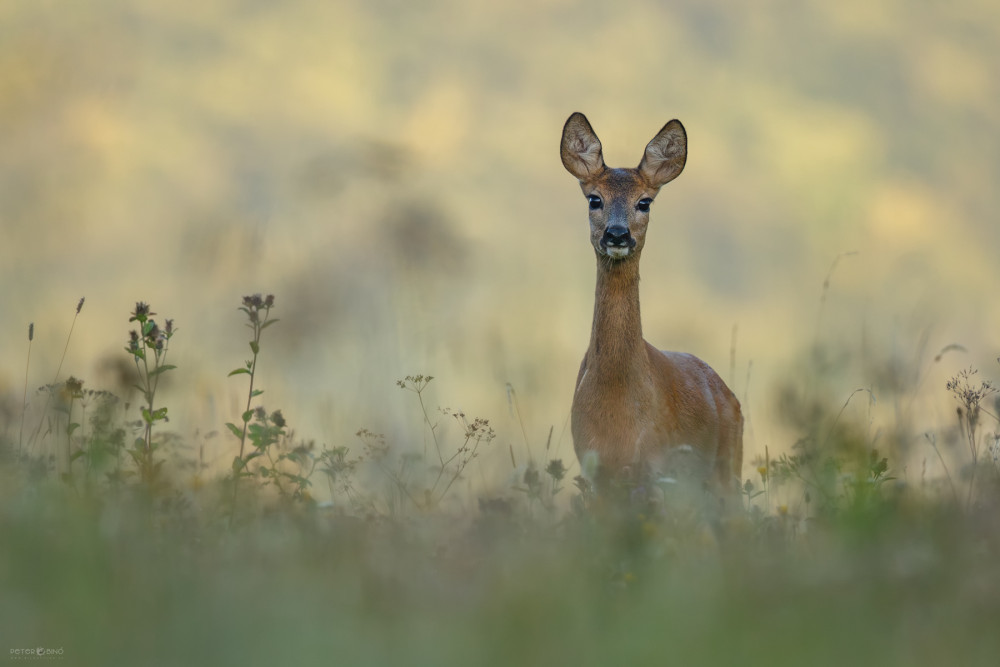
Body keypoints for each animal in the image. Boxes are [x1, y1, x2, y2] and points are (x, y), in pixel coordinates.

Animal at [564, 112, 744, 504]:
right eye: (594, 199)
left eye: (644, 202)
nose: (617, 234)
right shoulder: (593, 469)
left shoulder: (657, 470)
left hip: (727, 468)